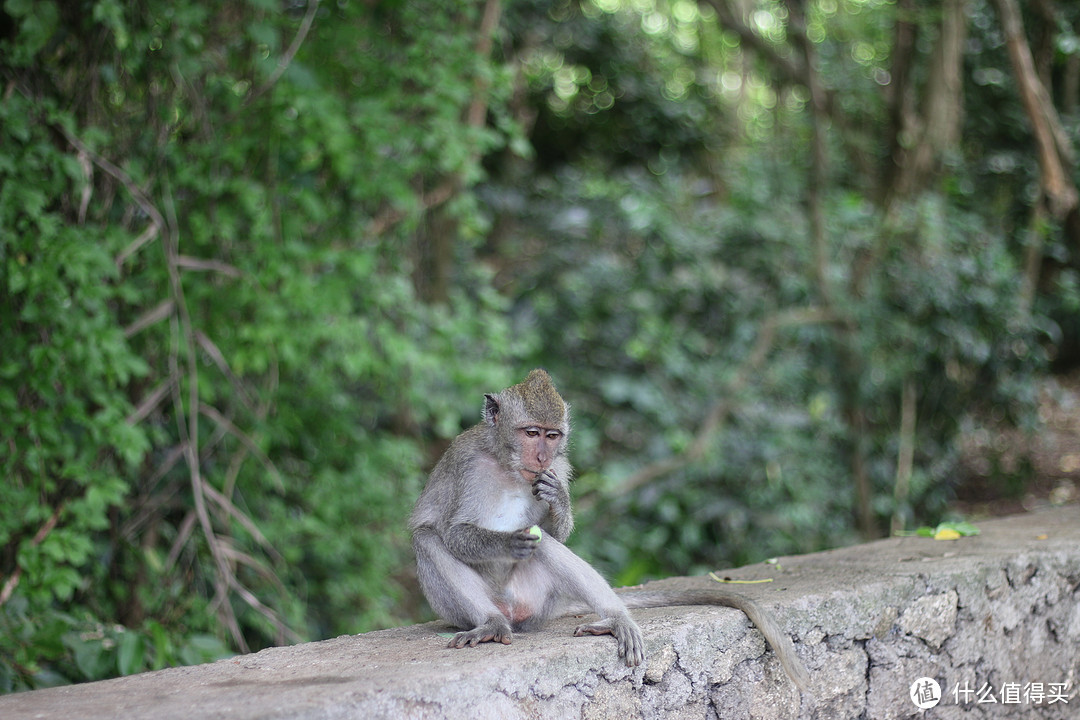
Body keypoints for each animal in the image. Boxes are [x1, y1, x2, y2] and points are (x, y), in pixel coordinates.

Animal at [410, 371, 812, 690]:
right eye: (531, 432)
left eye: (552, 436)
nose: (542, 457)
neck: (506, 464)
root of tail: (514, 611)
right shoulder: (466, 462)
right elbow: (455, 533)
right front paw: (508, 542)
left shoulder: (561, 467)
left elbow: (554, 533)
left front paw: (559, 501)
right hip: (466, 608)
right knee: (428, 540)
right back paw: (491, 624)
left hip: (538, 598)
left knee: (548, 547)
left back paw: (615, 619)